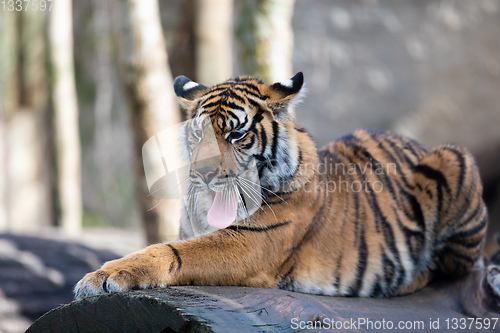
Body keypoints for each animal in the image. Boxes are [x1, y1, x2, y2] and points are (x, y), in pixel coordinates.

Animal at [75, 71, 488, 296]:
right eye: (198, 134)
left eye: (237, 134)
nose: (205, 173)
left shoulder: (252, 243)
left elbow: (174, 252)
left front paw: (102, 277)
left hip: (453, 157)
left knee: (452, 268)